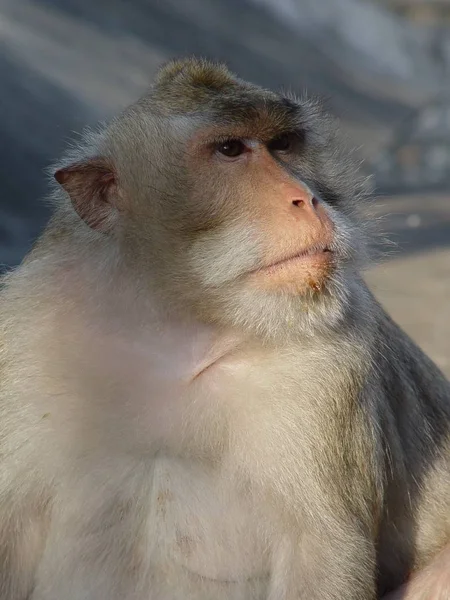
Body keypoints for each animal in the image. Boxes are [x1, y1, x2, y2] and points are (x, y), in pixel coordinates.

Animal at [0, 57, 448, 600]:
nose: (307, 199)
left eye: (283, 143)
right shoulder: (23, 336)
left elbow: (320, 554)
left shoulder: (331, 367)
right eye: (230, 149)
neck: (178, 326)